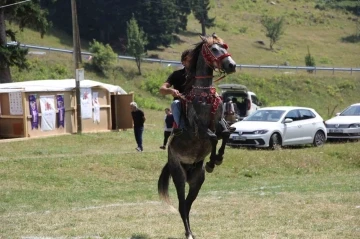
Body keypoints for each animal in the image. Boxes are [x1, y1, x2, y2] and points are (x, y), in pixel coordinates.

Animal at [158, 34, 236, 239]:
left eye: (225, 47)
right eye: (214, 49)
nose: (232, 65)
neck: (204, 96)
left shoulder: (220, 122)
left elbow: (225, 133)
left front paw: (216, 159)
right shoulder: (199, 129)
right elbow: (213, 137)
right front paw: (212, 161)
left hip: (197, 181)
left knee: (187, 204)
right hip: (178, 176)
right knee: (181, 205)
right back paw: (189, 233)